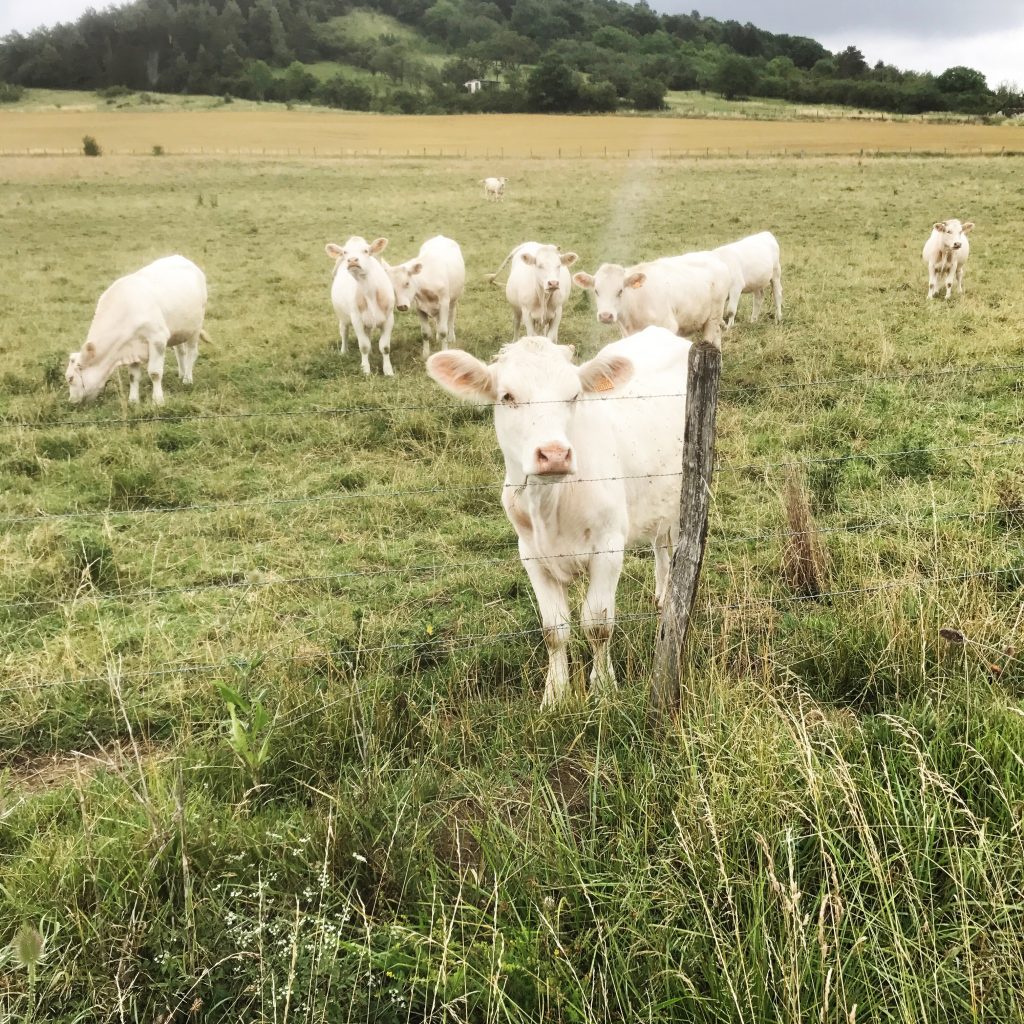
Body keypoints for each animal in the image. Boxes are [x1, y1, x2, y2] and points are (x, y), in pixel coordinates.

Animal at [65, 255, 208, 406]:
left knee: (191, 353)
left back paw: (187, 379)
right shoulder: (131, 347)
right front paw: (133, 400)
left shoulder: (157, 339)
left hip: (195, 327)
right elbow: (133, 376)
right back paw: (181, 374)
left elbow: (155, 373)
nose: (72, 401)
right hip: (178, 330)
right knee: (180, 351)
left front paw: (158, 400)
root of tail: (181, 258)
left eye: (70, 378)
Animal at [325, 236, 397, 376]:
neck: (370, 292)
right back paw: (344, 352)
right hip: (342, 317)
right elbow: (363, 346)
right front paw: (365, 370)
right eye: (345, 252)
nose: (352, 260)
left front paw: (388, 371)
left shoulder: (389, 318)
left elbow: (385, 347)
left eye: (366, 250)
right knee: (344, 332)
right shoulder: (356, 319)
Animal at [426, 326, 689, 707]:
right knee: (660, 542)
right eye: (507, 396)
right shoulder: (531, 555)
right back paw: (661, 594)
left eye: (574, 395)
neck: (552, 506)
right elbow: (554, 629)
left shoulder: (609, 547)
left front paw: (603, 688)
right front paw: (555, 694)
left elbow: (597, 624)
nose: (553, 454)